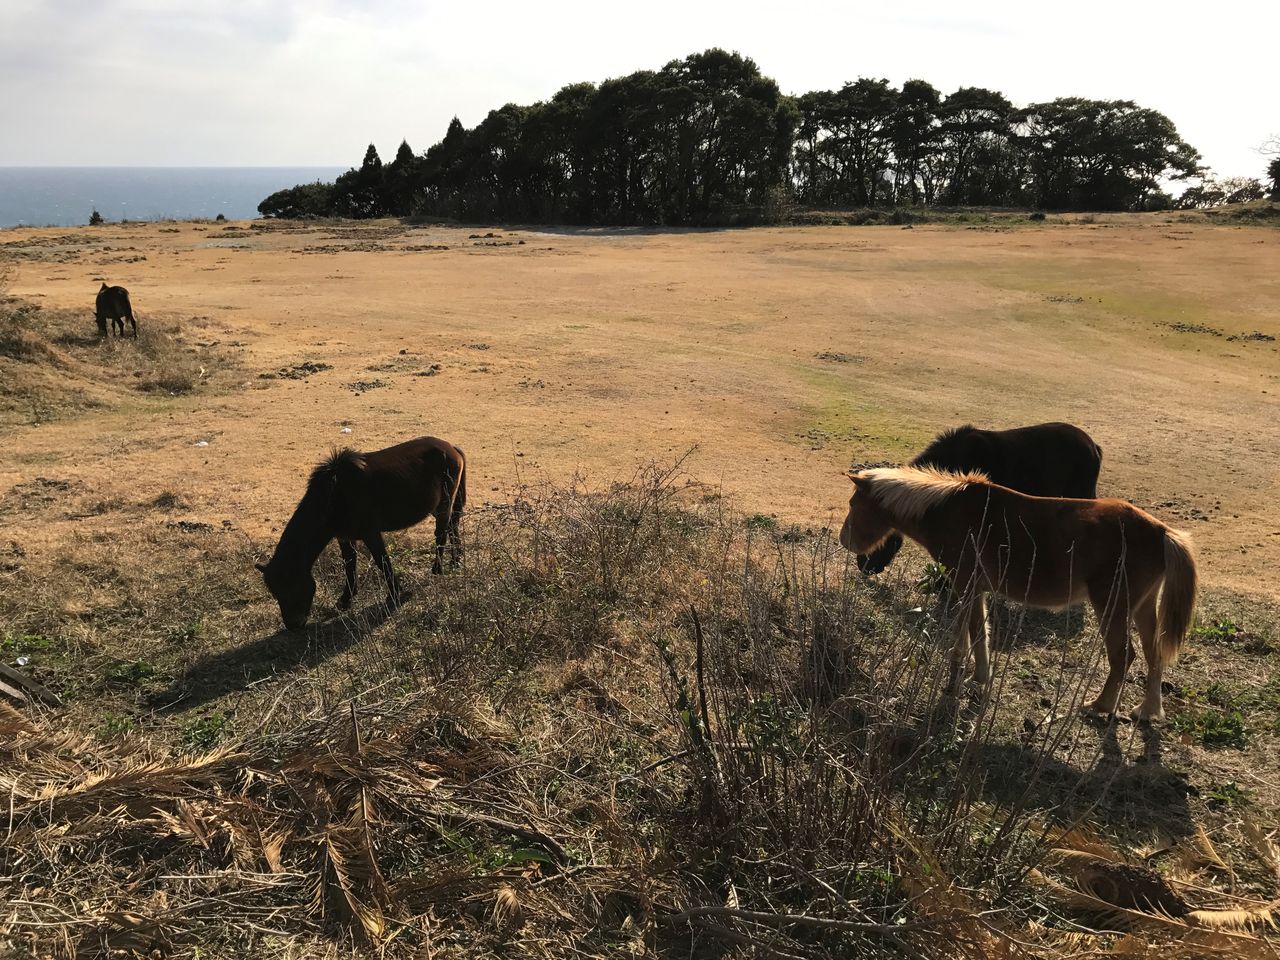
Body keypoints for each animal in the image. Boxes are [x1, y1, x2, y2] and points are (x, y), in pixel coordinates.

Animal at [256, 436, 466, 630]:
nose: (293, 625)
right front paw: (346, 599)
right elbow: (349, 565)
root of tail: (451, 447)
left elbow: (382, 562)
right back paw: (456, 560)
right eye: (275, 592)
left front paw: (394, 594)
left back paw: (438, 568)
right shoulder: (344, 537)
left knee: (442, 533)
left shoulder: (370, 533)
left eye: (293, 586)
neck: (335, 495)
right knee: (453, 526)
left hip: (443, 504)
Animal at [839, 466, 1197, 722]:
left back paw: (1101, 706)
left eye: (854, 504)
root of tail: (1161, 532)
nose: (845, 540)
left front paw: (959, 683)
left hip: (1113, 605)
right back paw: (1147, 711)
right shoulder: (977, 589)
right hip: (1143, 606)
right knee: (1153, 653)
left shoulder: (964, 584)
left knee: (1124, 656)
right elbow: (979, 632)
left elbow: (965, 636)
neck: (947, 512)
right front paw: (980, 678)